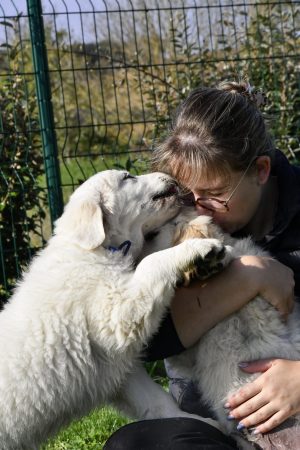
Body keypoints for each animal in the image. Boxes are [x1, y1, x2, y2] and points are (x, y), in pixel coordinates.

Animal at [0, 171, 225, 448]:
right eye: (128, 177)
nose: (168, 176)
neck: (98, 249)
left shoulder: (115, 364)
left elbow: (156, 401)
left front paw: (199, 422)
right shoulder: (116, 314)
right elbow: (151, 263)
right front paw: (197, 249)